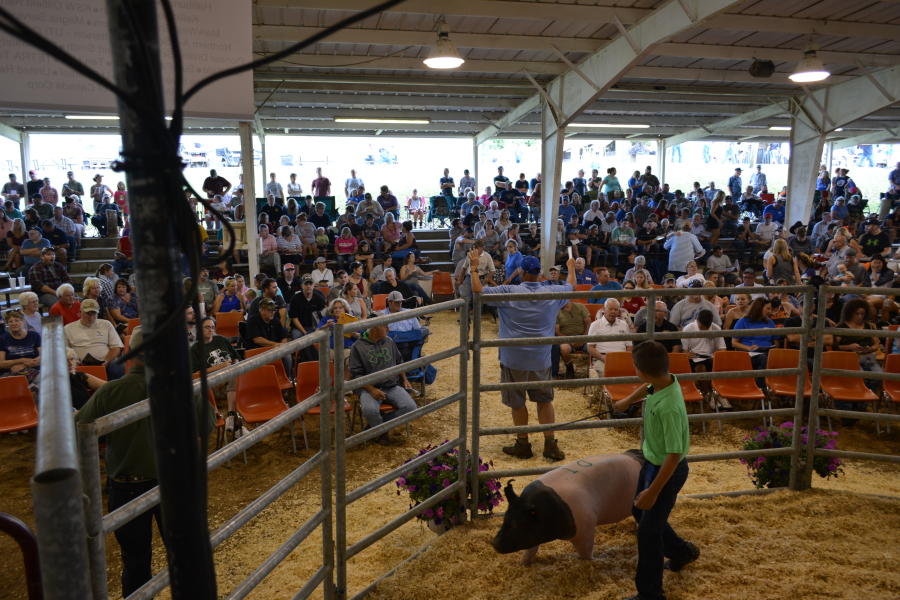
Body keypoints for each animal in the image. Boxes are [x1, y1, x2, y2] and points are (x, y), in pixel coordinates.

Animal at [488, 452, 644, 564]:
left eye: (519, 523)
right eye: (506, 518)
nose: (494, 543)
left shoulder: (586, 527)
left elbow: (586, 553)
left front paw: (595, 560)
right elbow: (531, 550)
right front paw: (523, 563)